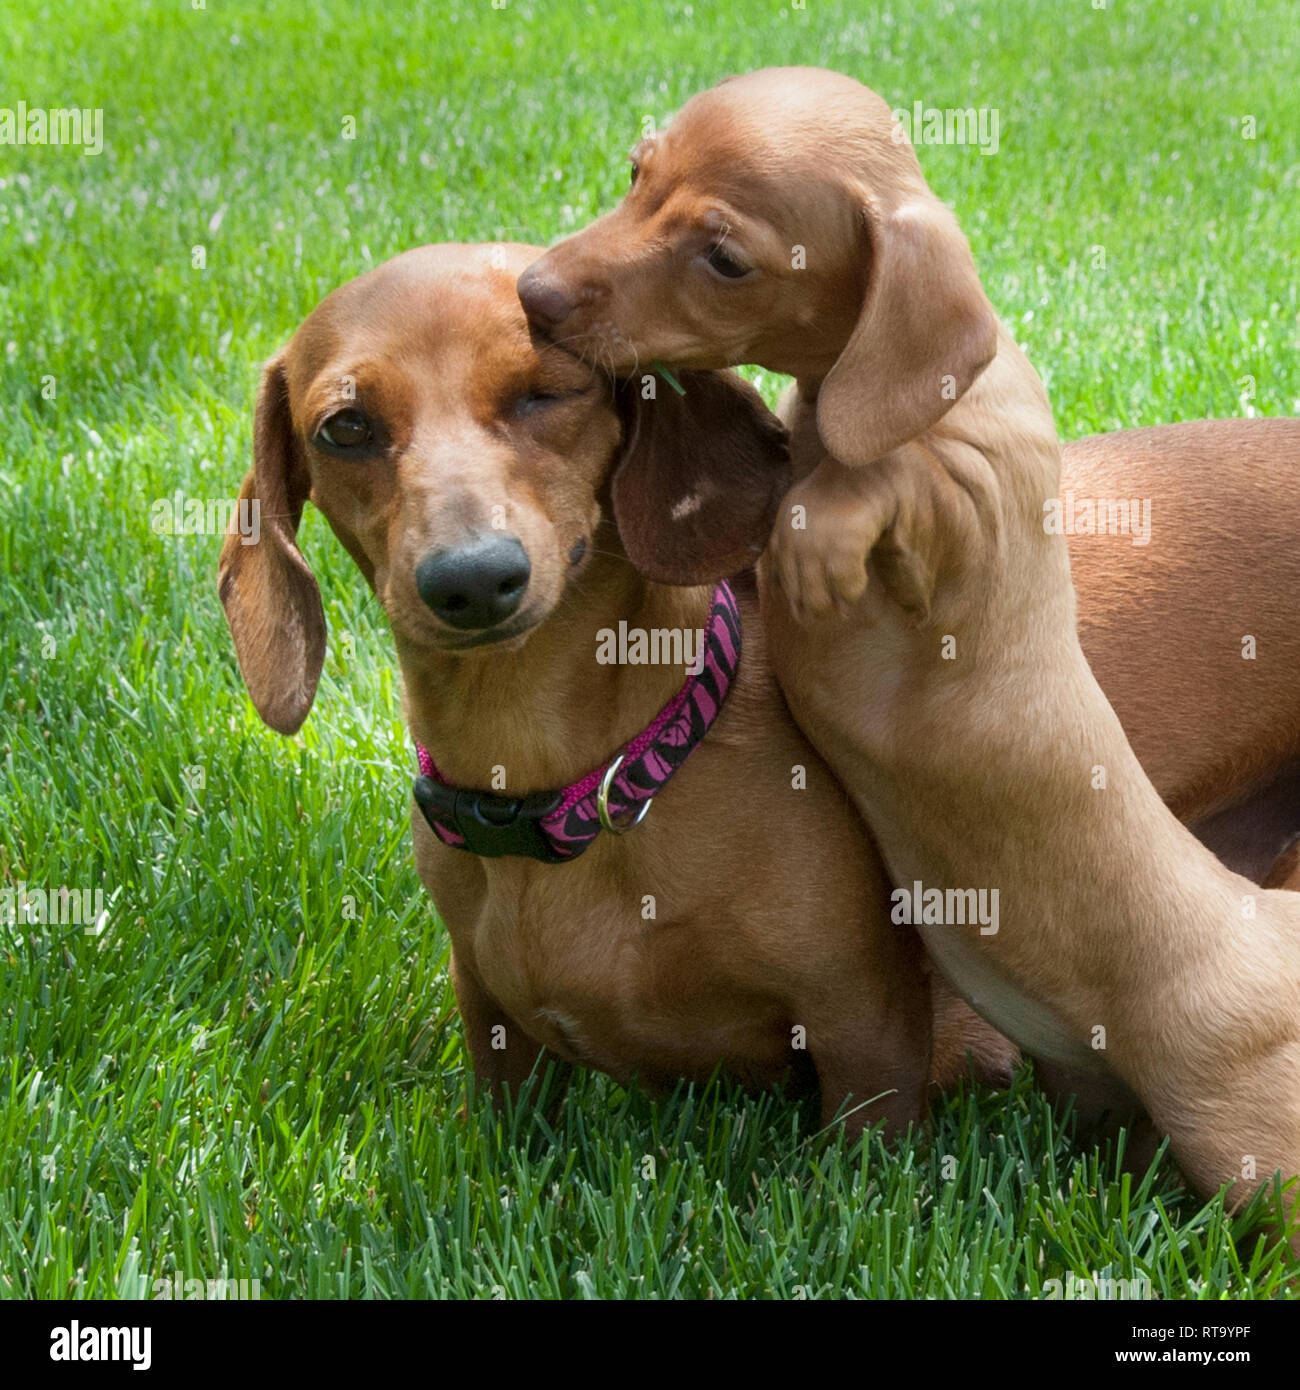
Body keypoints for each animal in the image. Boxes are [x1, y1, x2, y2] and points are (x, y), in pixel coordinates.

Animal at [517, 67, 1300, 1239]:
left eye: (725, 258)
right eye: (635, 174)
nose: (532, 294)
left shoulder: (970, 522)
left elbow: (876, 479)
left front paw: (815, 538)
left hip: (1246, 1134)